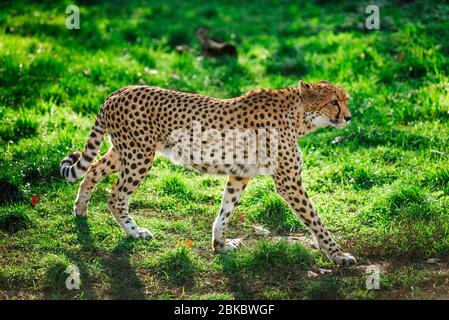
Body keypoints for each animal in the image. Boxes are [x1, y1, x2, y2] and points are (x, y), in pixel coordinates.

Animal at [59, 80, 356, 264]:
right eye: (334, 101)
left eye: (345, 100)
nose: (349, 117)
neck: (298, 117)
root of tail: (117, 92)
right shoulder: (289, 183)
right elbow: (315, 220)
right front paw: (338, 255)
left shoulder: (240, 174)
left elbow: (226, 210)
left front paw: (220, 244)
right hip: (139, 156)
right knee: (116, 196)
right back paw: (135, 232)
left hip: (123, 151)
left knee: (92, 170)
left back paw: (80, 211)